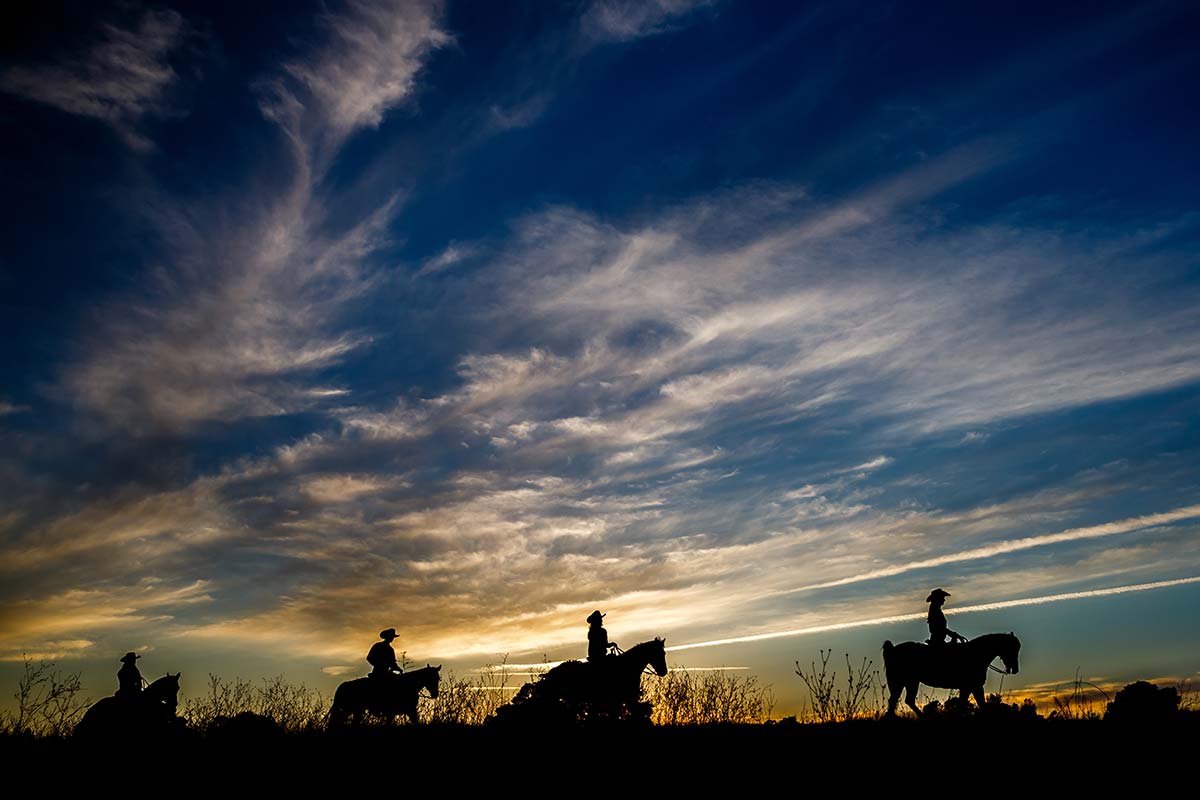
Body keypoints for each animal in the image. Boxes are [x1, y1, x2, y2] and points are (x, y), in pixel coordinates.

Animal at [499, 638, 672, 724]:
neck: (626, 666)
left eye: (664, 653)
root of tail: (553, 672)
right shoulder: (623, 699)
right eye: (659, 653)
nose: (663, 672)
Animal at [883, 633, 1022, 714]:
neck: (976, 653)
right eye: (1011, 647)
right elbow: (972, 706)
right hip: (902, 682)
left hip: (907, 682)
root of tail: (893, 649)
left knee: (901, 701)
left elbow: (974, 705)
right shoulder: (972, 686)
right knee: (898, 701)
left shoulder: (971, 687)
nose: (1015, 669)